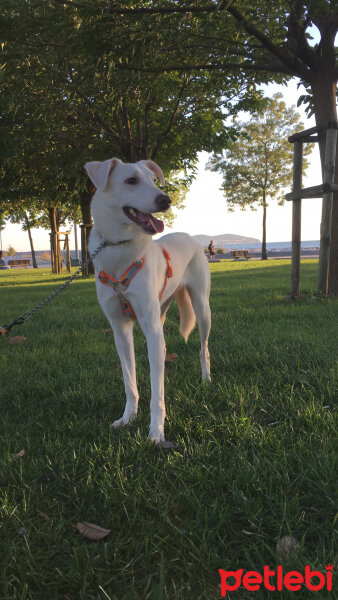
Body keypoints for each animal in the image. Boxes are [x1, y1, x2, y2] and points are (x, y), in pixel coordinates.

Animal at [84, 157, 211, 442]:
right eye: (130, 180)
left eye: (153, 180)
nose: (166, 200)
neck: (120, 248)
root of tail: (189, 236)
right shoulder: (120, 329)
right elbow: (129, 381)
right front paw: (127, 418)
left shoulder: (149, 325)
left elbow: (157, 393)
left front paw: (156, 432)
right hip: (161, 310)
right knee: (162, 349)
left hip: (202, 309)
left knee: (203, 349)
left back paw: (206, 379)